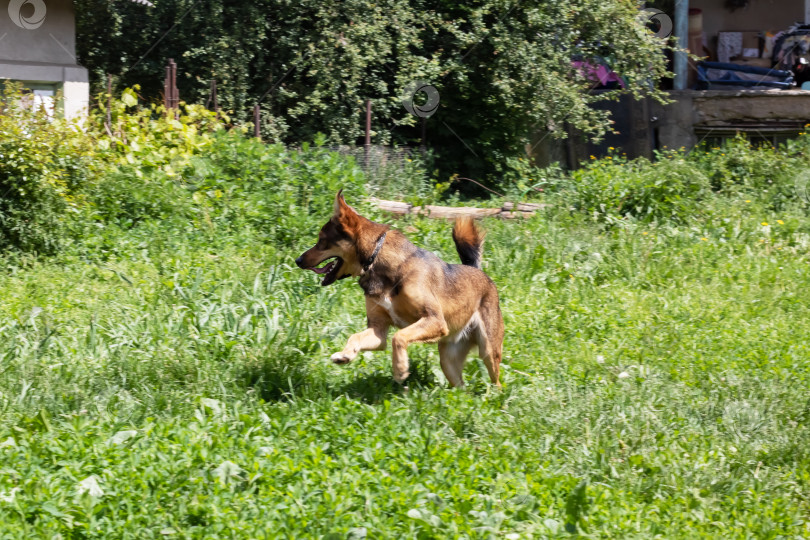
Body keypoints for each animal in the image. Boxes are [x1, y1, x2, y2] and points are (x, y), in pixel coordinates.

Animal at [294, 192, 502, 386]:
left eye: (321, 240)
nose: (298, 260)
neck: (377, 259)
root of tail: (479, 272)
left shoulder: (434, 320)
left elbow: (399, 336)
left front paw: (400, 369)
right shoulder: (378, 331)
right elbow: (356, 337)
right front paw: (344, 355)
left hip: (489, 350)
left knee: (497, 380)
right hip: (448, 359)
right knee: (460, 386)